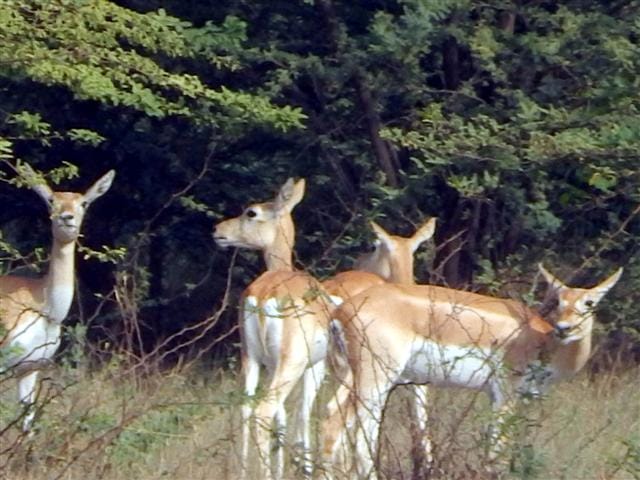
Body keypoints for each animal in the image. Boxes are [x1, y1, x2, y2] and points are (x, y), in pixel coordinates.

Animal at [0, 164, 115, 432]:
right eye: (52, 200)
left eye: (84, 202)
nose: (67, 217)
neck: (44, 306)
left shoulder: (29, 367)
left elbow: (27, 421)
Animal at [321, 264, 622, 478]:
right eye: (558, 300)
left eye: (588, 303)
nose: (564, 328)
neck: (541, 341)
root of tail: (342, 311)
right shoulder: (505, 393)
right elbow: (497, 451)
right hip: (376, 377)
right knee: (338, 424)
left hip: (354, 375)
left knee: (344, 421)